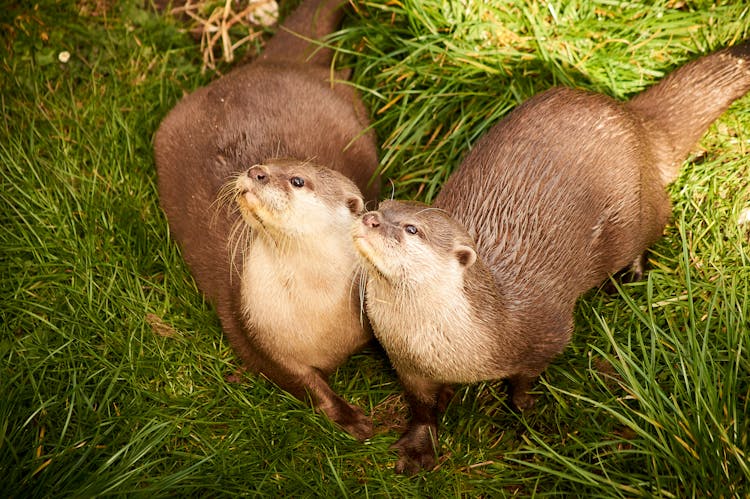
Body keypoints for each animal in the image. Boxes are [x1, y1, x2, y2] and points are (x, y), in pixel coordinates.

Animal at [157, 0, 382, 442]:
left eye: (297, 179)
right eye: (263, 162)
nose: (256, 171)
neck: (316, 313)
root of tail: (271, 64)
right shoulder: (260, 336)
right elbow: (306, 386)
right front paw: (351, 418)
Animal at [354, 40, 750, 472]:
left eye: (412, 229)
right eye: (383, 206)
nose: (370, 218)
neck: (448, 349)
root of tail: (631, 117)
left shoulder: (545, 334)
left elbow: (526, 377)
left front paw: (525, 408)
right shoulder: (407, 366)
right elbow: (422, 408)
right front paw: (418, 446)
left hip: (639, 210)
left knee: (658, 221)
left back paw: (630, 276)